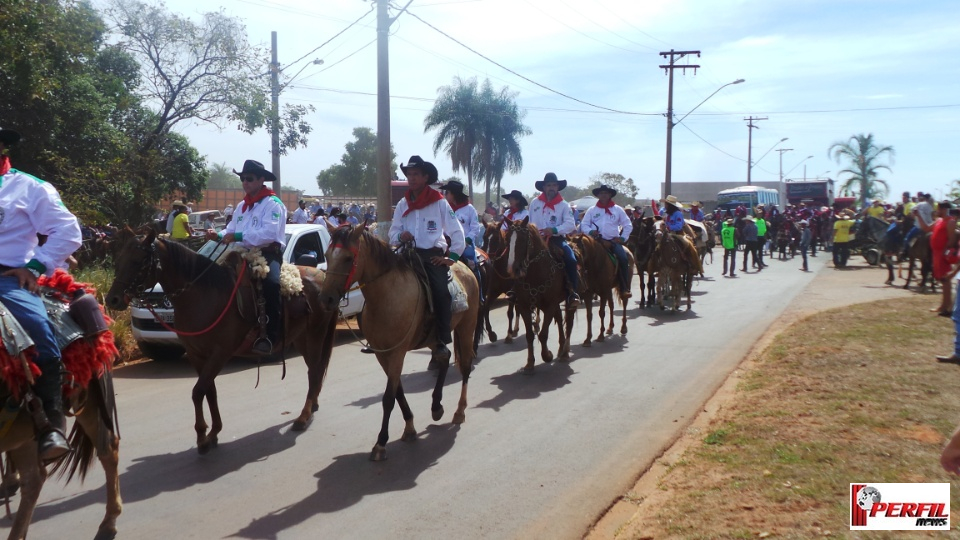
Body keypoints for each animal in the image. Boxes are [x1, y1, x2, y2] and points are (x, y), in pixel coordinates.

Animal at [104, 230, 338, 454]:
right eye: (119, 259)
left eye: (137, 261)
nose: (112, 299)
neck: (203, 295)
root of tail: (321, 276)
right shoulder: (197, 354)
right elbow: (209, 391)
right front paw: (214, 432)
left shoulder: (220, 353)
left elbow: (198, 392)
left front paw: (202, 437)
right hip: (300, 337)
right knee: (314, 370)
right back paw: (313, 405)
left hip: (316, 333)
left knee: (314, 370)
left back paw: (303, 417)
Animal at [316, 226, 478, 462]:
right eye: (327, 256)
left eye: (348, 258)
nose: (326, 299)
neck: (386, 296)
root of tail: (465, 267)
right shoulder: (383, 354)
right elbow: (398, 391)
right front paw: (409, 428)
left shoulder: (397, 352)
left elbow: (388, 398)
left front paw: (380, 443)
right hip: (432, 338)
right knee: (444, 356)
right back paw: (436, 406)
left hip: (466, 327)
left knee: (465, 366)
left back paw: (459, 411)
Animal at [502, 216, 576, 372]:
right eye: (506, 239)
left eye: (523, 239)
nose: (512, 268)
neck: (537, 272)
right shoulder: (524, 306)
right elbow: (530, 335)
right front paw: (530, 363)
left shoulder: (549, 305)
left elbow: (543, 334)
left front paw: (547, 355)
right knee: (559, 318)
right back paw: (561, 349)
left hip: (569, 301)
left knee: (569, 322)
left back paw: (565, 352)